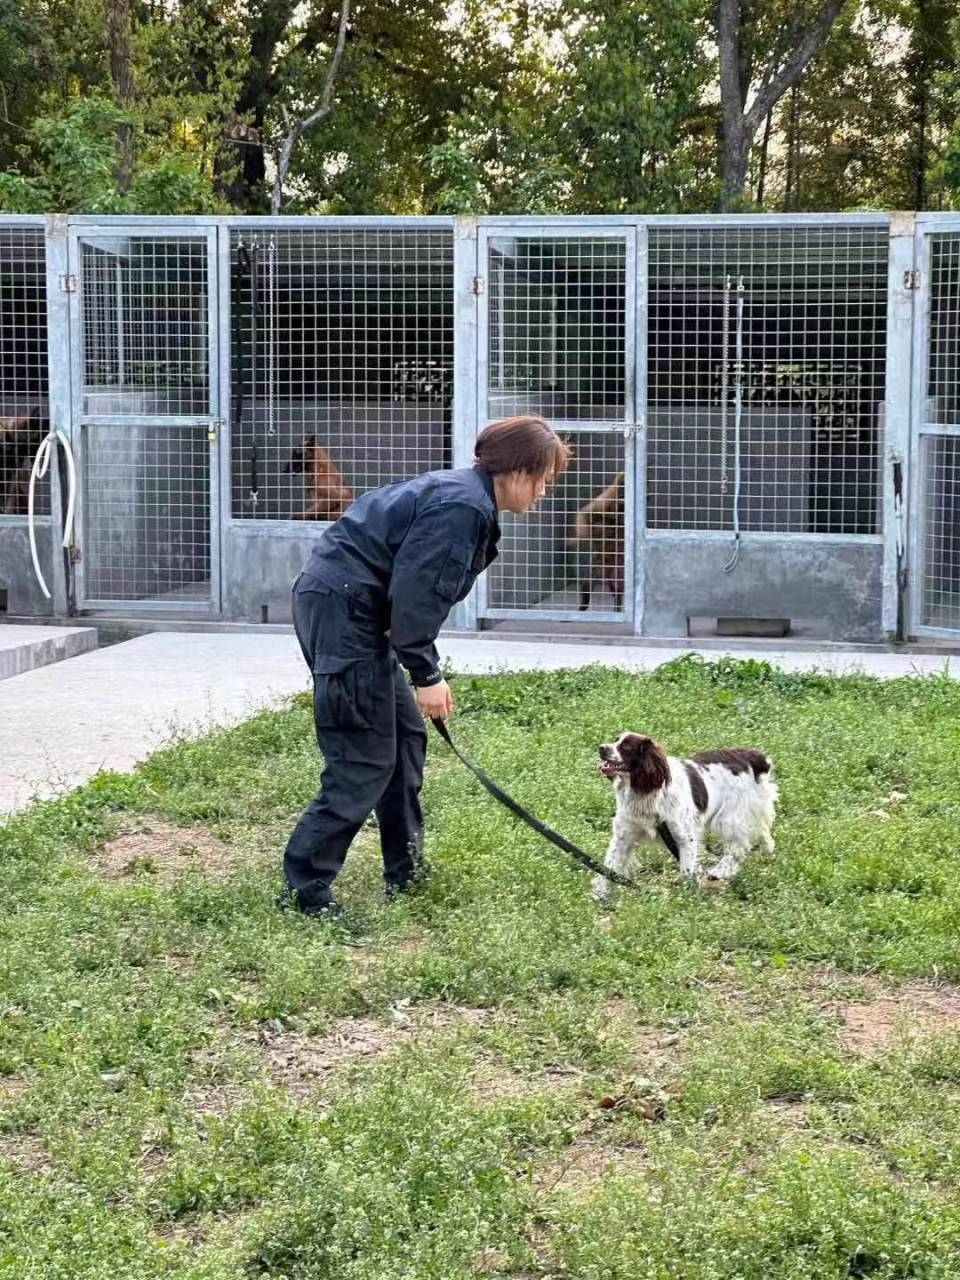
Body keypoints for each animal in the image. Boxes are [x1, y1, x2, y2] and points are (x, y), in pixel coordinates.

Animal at [593, 732, 783, 901]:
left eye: (626, 746)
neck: (647, 792)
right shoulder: (623, 835)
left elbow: (687, 871)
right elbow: (609, 866)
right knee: (763, 834)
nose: (601, 747)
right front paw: (600, 895)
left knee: (739, 848)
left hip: (729, 818)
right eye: (615, 739)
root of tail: (756, 757)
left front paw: (689, 896)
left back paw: (719, 871)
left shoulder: (685, 837)